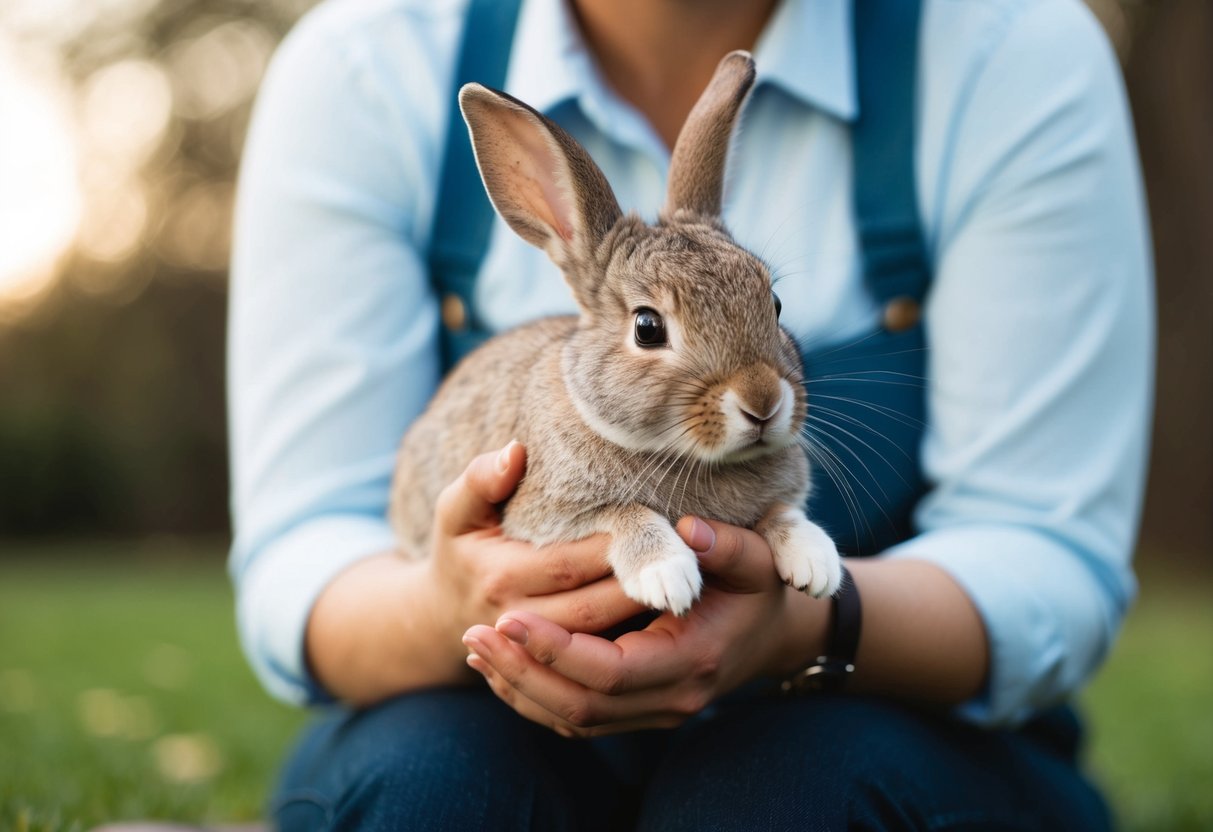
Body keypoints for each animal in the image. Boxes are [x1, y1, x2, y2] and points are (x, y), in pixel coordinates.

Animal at [390, 51, 841, 615]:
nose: (762, 402)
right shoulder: (539, 511)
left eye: (775, 304)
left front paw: (817, 563)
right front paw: (665, 573)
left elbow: (781, 511)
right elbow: (621, 513)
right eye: (648, 328)